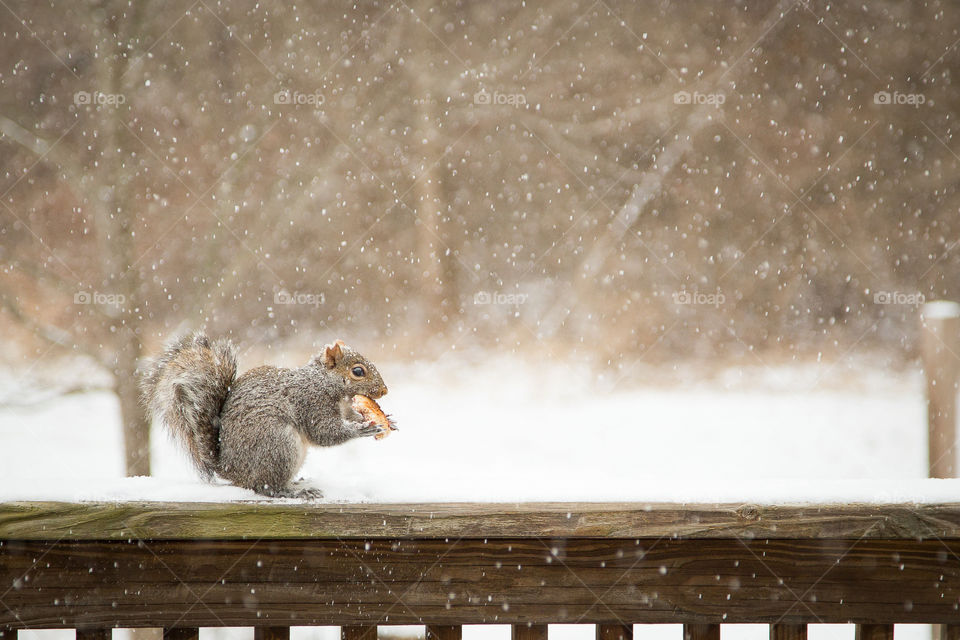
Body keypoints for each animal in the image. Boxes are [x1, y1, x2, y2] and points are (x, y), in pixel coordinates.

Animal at [139, 332, 389, 499]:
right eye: (358, 371)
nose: (384, 391)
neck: (323, 382)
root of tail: (230, 469)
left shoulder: (343, 407)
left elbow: (349, 416)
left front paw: (378, 420)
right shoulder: (310, 402)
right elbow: (324, 432)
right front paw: (362, 429)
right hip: (278, 445)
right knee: (265, 487)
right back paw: (292, 492)